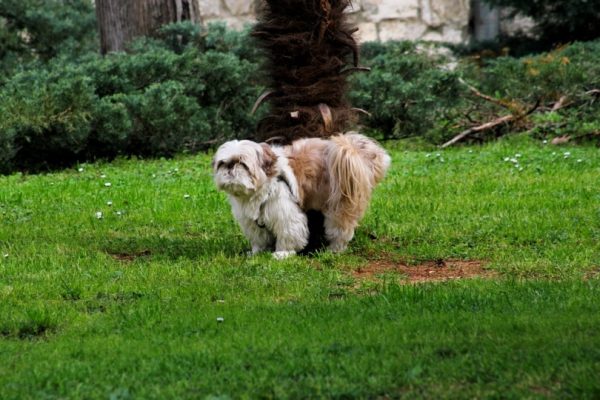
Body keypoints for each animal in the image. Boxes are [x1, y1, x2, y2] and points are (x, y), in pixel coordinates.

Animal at [213, 131, 392, 256]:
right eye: (222, 163)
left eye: (242, 164)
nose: (230, 167)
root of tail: (354, 151)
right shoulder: (252, 221)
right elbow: (259, 237)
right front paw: (257, 252)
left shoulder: (285, 212)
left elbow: (288, 233)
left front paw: (282, 253)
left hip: (340, 204)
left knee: (341, 228)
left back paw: (334, 249)